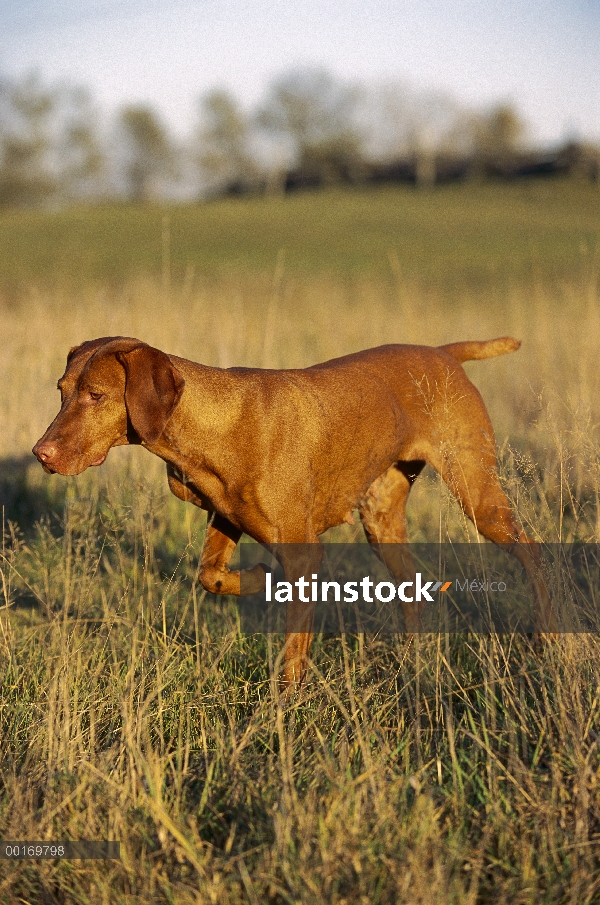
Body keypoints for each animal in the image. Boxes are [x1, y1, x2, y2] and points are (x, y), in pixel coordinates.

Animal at [31, 338, 548, 684]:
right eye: (61, 389)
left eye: (96, 395)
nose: (41, 453)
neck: (210, 424)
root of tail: (442, 352)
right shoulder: (224, 518)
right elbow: (209, 575)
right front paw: (256, 577)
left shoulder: (303, 554)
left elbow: (293, 651)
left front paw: (286, 709)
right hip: (381, 520)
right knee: (412, 585)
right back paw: (410, 663)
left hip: (477, 493)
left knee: (533, 551)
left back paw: (545, 636)